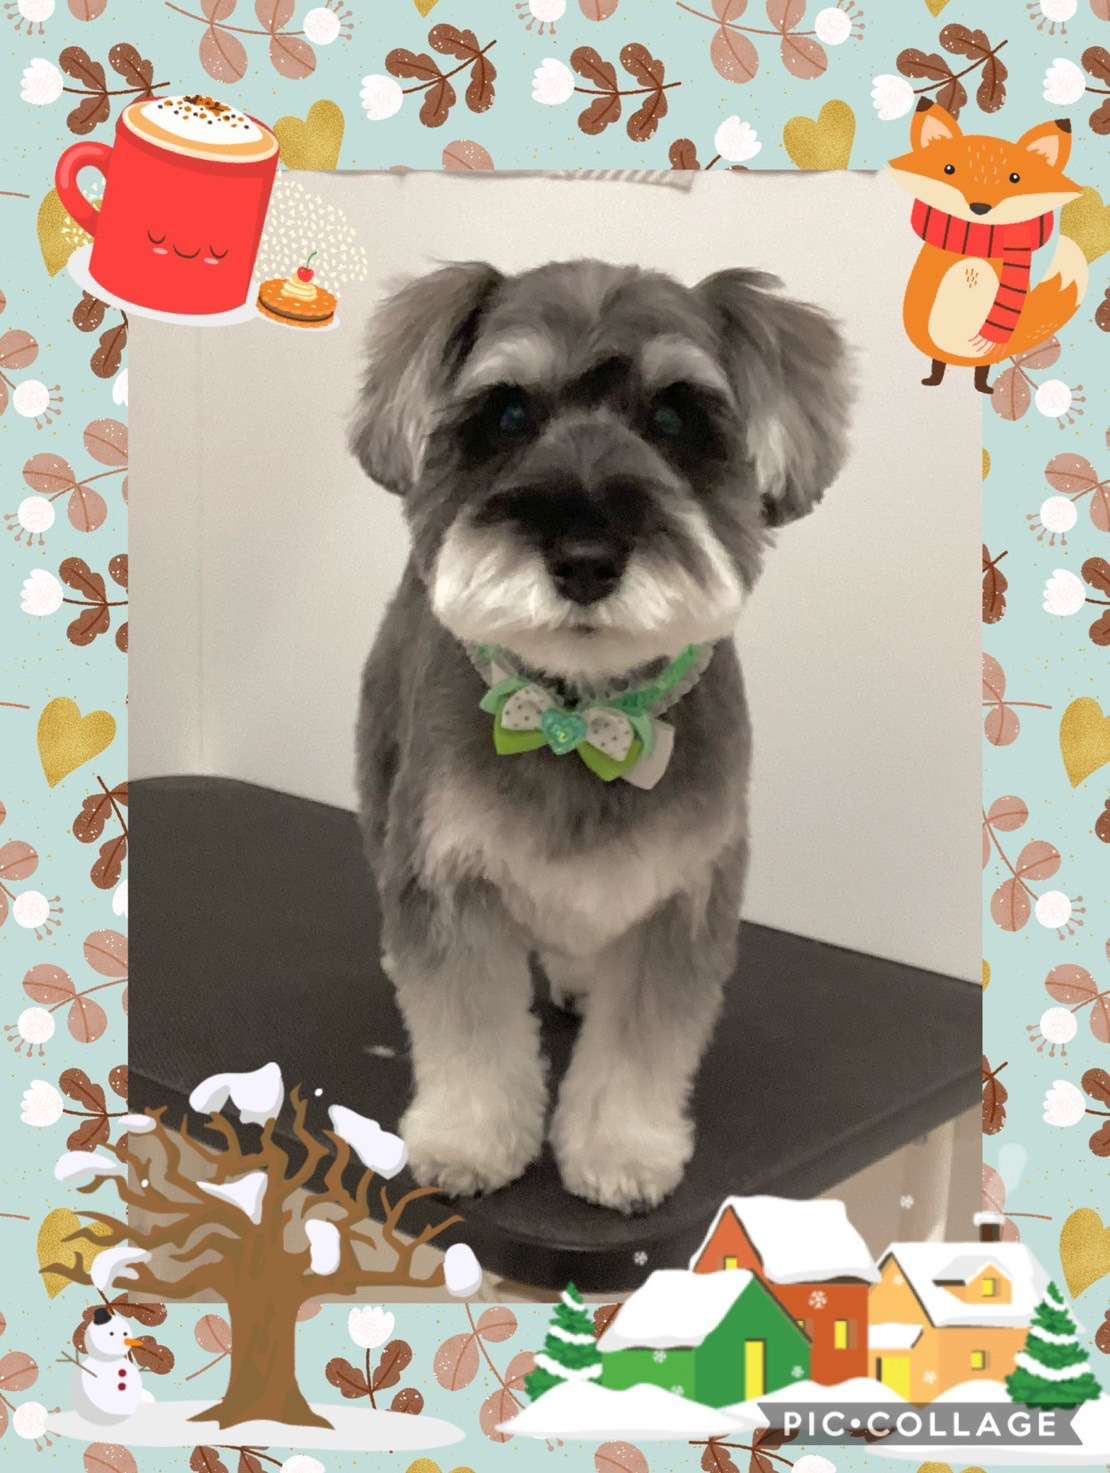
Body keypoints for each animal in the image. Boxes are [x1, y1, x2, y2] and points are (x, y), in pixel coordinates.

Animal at [350, 258, 851, 1213]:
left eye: (675, 419)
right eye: (508, 413)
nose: (584, 559)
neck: (580, 717)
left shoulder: (684, 895)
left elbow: (643, 1045)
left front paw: (622, 1150)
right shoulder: (448, 876)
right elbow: (469, 1026)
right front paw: (468, 1140)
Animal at [888, 99, 1087, 392]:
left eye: (1015, 178)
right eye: (949, 169)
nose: (980, 208)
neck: (978, 240)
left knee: (980, 369)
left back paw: (982, 387)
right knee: (940, 362)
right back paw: (934, 380)